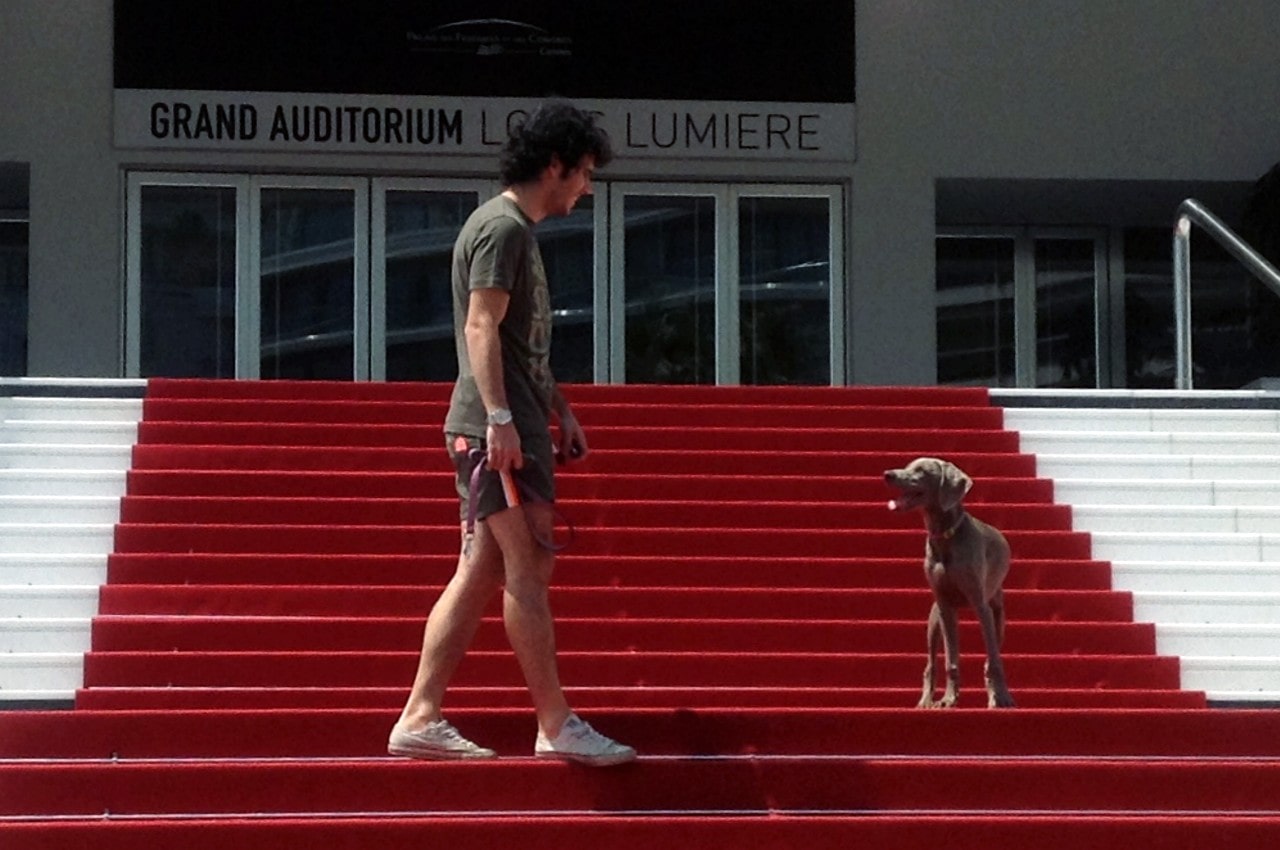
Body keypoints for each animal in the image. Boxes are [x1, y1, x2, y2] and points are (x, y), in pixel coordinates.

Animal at [883, 457, 1015, 709]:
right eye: (907, 466)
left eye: (922, 471)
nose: (888, 474)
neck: (945, 536)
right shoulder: (945, 607)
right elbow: (951, 660)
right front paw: (948, 699)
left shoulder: (980, 606)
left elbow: (993, 660)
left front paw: (1000, 698)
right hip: (933, 619)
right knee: (930, 664)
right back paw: (925, 700)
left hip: (998, 616)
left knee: (992, 655)